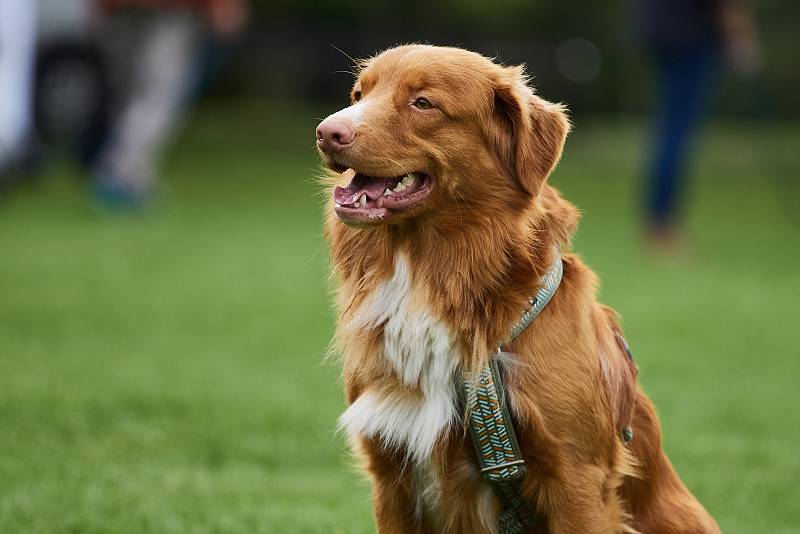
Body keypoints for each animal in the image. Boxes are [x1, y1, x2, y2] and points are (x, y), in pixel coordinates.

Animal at [314, 45, 720, 534]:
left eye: (423, 103)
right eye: (359, 94)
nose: (326, 132)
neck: (433, 268)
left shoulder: (577, 476)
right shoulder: (390, 470)